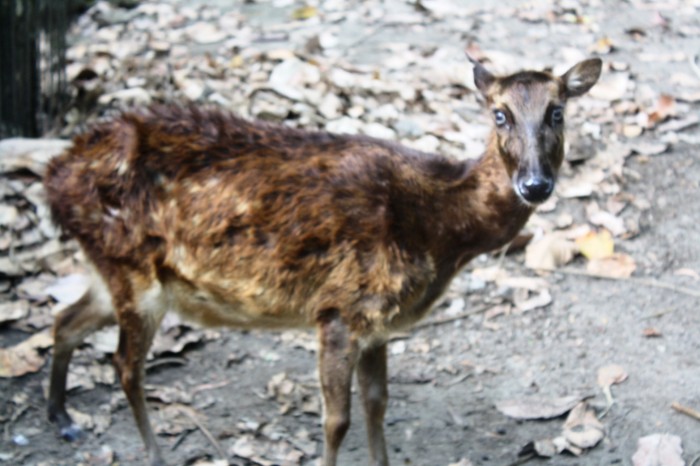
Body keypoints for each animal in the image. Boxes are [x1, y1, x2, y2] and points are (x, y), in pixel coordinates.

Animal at [44, 56, 602, 466]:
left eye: (557, 111)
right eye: (499, 113)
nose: (535, 184)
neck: (437, 229)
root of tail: (56, 175)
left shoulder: (378, 320)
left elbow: (378, 404)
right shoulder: (339, 306)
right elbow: (337, 420)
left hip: (111, 266)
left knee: (65, 319)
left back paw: (62, 420)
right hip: (133, 268)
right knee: (125, 365)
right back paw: (153, 453)